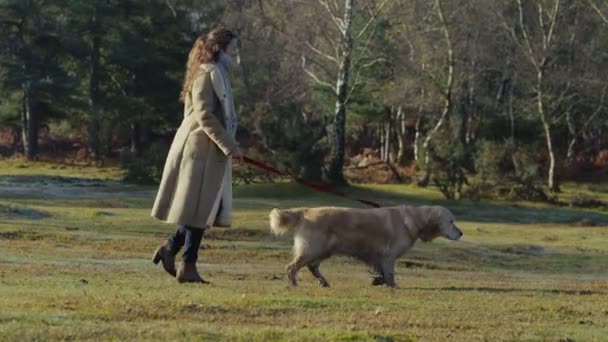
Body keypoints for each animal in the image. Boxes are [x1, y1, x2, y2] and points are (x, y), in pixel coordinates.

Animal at [268, 204, 464, 288]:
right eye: (451, 221)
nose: (461, 233)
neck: (415, 219)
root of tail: (305, 211)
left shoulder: (378, 256)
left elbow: (381, 272)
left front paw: (378, 280)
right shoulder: (388, 255)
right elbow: (390, 273)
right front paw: (392, 286)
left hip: (323, 250)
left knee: (312, 267)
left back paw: (324, 282)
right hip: (312, 249)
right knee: (292, 267)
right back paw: (294, 283)